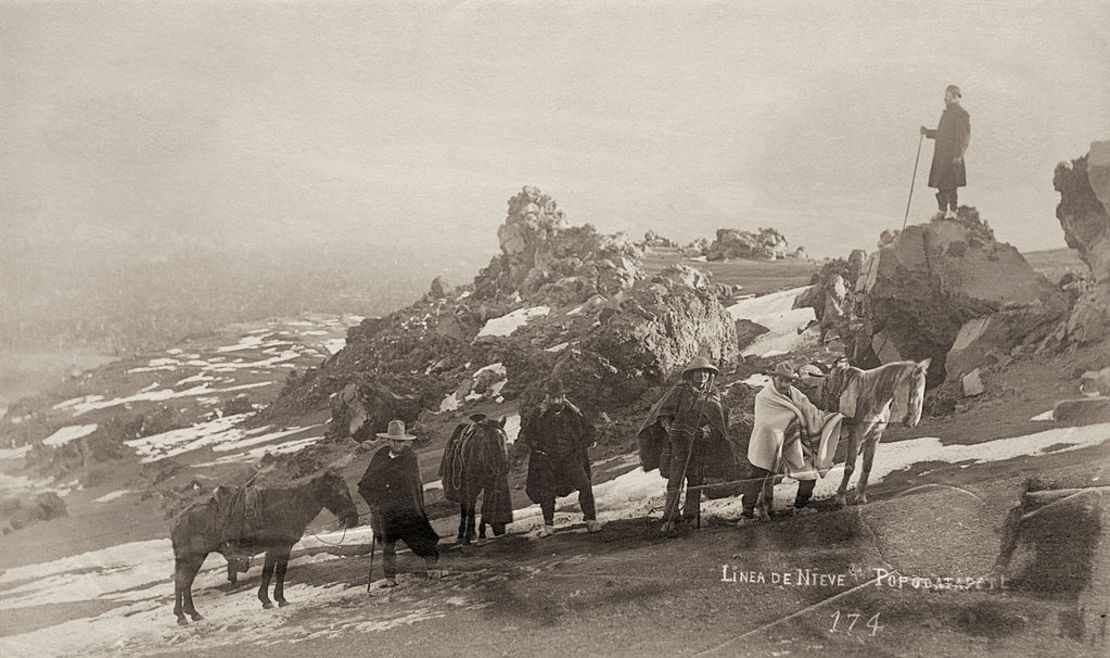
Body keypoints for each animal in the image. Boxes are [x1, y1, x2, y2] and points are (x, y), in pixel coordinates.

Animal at [170, 470, 357, 621]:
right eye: (338, 494)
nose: (353, 518)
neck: (286, 508)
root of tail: (177, 521)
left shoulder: (283, 548)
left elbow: (277, 572)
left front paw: (275, 599)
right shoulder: (276, 547)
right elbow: (271, 573)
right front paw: (270, 600)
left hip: (195, 558)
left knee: (185, 583)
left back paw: (191, 614)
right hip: (191, 558)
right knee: (181, 583)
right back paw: (183, 616)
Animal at [439, 414, 512, 543]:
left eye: (506, 438)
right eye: (491, 441)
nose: (505, 466)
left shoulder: (489, 485)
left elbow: (483, 507)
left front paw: (482, 533)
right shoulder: (471, 486)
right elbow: (471, 509)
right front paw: (466, 539)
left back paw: (472, 532)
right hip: (463, 487)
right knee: (465, 506)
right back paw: (461, 534)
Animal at [834, 357, 927, 505]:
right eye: (915, 393)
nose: (912, 422)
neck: (870, 397)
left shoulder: (874, 436)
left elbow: (867, 466)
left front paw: (861, 497)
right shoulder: (856, 435)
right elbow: (849, 467)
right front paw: (841, 498)